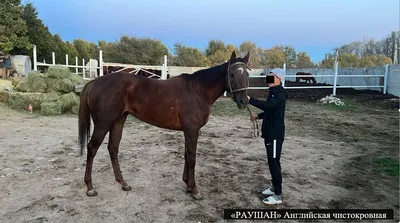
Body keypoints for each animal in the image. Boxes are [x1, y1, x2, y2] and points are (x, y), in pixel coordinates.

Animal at [78, 51, 250, 199]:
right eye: (232, 74)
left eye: (247, 74)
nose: (244, 101)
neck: (197, 90)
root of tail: (95, 82)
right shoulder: (192, 130)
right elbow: (192, 157)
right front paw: (194, 189)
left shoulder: (188, 131)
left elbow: (187, 155)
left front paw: (187, 185)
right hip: (103, 124)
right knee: (92, 148)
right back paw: (90, 188)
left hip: (118, 121)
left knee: (113, 149)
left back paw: (123, 183)